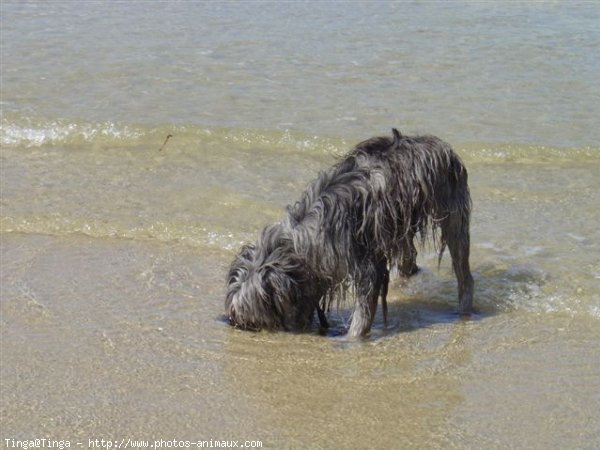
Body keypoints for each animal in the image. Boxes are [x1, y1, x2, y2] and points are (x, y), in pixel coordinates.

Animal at [225, 128, 474, 336]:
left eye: (252, 319)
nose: (235, 321)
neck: (299, 245)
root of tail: (438, 144)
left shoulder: (364, 264)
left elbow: (362, 313)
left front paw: (351, 339)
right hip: (399, 224)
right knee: (409, 258)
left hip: (452, 213)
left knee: (463, 272)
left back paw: (464, 309)